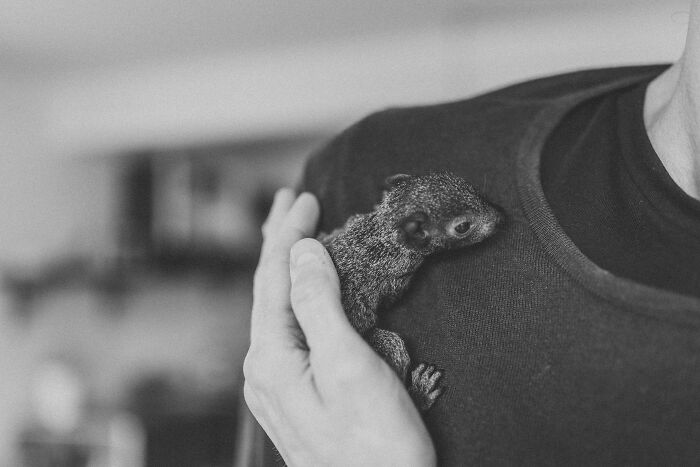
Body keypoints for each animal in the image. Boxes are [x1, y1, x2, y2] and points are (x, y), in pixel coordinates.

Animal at [318, 172, 503, 411]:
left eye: (472, 189)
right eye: (463, 227)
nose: (500, 217)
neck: (384, 230)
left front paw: (324, 235)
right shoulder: (397, 276)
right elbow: (391, 298)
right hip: (387, 346)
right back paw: (420, 393)